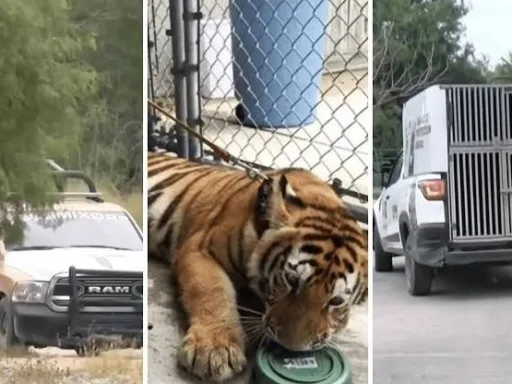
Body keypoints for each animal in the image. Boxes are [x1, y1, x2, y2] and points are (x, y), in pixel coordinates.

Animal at [148, 152, 368, 382]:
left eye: (336, 301)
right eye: (291, 280)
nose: (292, 348)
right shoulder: (200, 249)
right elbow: (212, 292)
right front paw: (214, 350)